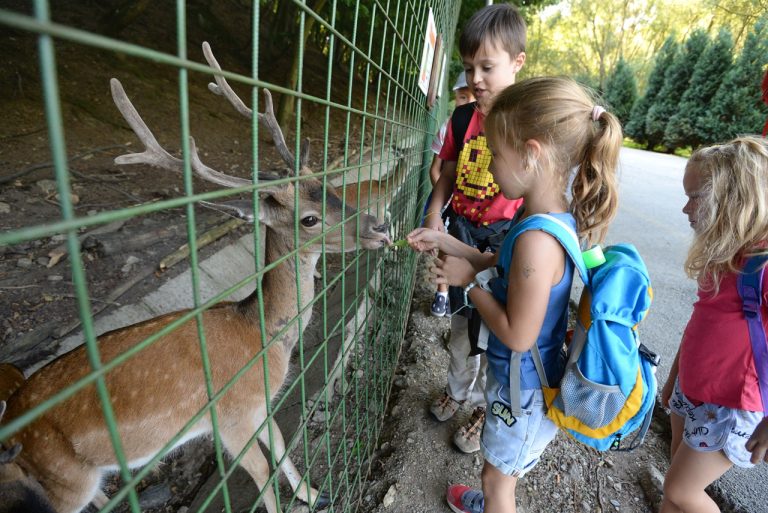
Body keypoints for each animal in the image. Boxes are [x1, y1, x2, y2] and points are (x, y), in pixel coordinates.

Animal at [0, 57, 392, 512]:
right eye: (309, 219)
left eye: (330, 189)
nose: (379, 227)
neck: (262, 336)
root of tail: (8, 422)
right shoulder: (229, 415)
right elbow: (262, 474)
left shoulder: (259, 404)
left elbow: (280, 444)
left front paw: (314, 494)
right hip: (63, 480)